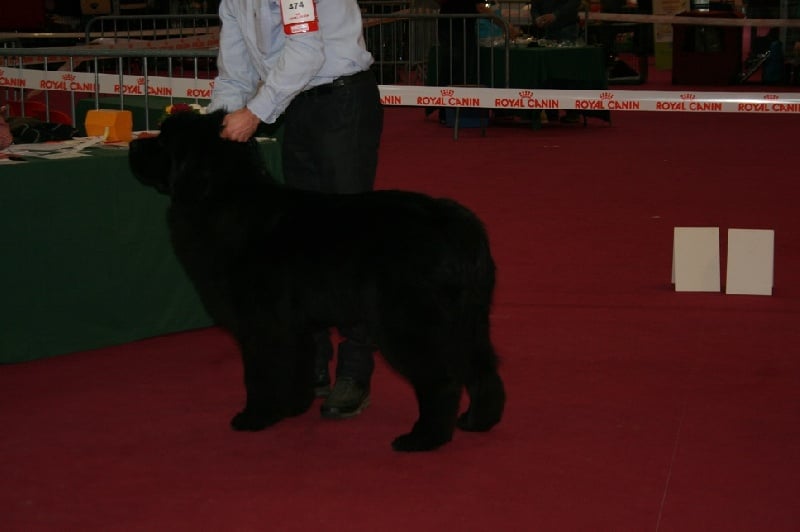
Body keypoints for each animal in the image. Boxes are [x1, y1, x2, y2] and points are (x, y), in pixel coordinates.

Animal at [128, 110, 505, 451]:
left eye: (163, 142)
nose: (133, 144)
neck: (220, 197)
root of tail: (455, 222)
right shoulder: (293, 324)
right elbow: (295, 364)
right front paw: (292, 407)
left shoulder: (261, 322)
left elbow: (259, 372)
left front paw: (254, 417)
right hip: (468, 320)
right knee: (482, 367)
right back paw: (478, 421)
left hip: (410, 323)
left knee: (442, 379)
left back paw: (424, 438)